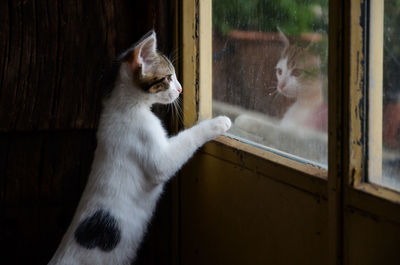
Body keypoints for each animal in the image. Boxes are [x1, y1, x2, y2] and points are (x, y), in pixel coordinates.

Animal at [48, 29, 231, 262]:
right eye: (168, 77)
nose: (180, 89)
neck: (123, 107)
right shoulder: (156, 155)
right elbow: (186, 139)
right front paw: (219, 122)